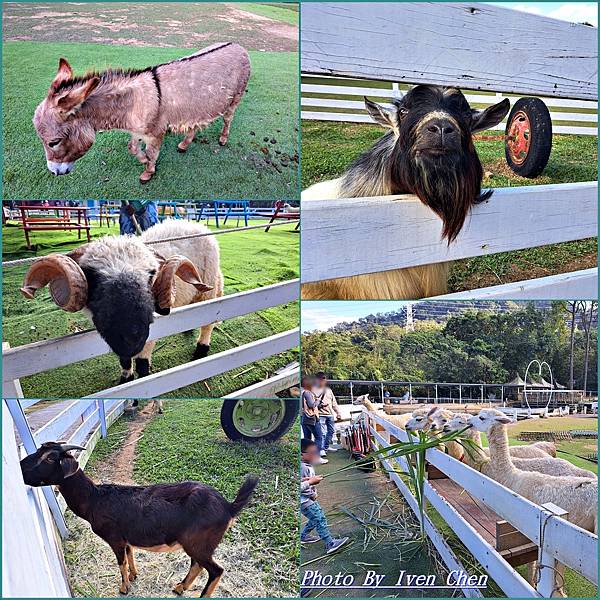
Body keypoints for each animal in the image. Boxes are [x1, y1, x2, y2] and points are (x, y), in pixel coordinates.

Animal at [20, 220, 225, 384]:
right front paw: (125, 379)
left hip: (209, 287)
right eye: (91, 276)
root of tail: (194, 224)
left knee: (208, 322)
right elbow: (124, 361)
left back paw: (201, 350)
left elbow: (142, 362)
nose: (131, 336)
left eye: (152, 274)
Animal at [20, 440, 260, 596]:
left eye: (50, 457)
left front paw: (123, 588)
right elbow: (130, 555)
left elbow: (121, 562)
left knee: (215, 570)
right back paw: (179, 588)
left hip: (198, 542)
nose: (21, 467)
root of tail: (228, 507)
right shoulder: (125, 537)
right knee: (197, 565)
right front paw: (134, 576)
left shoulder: (114, 538)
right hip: (197, 543)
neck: (94, 499)